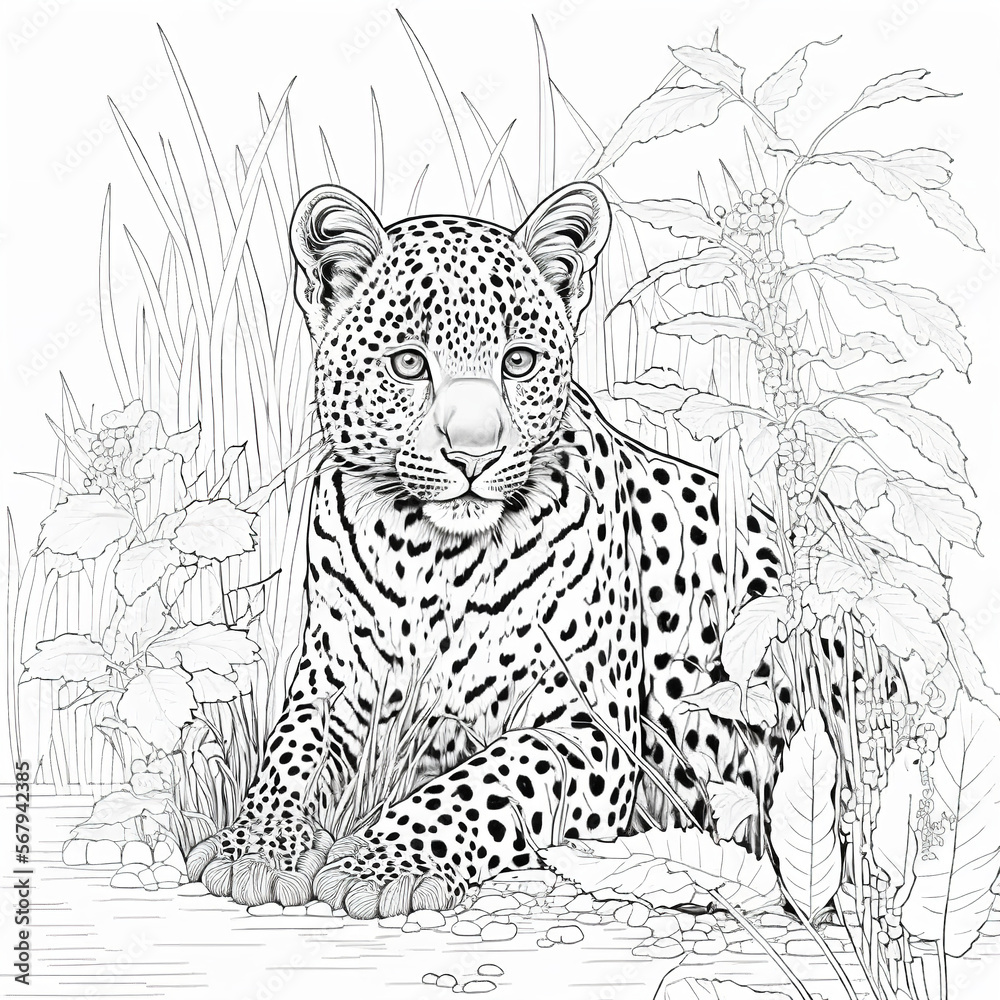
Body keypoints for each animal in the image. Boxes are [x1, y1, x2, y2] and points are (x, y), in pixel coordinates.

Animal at [186, 179, 796, 919]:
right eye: (409, 363)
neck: (429, 558)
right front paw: (254, 847)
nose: (474, 453)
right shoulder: (332, 681)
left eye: (518, 361)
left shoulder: (588, 731)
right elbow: (290, 754)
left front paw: (379, 863)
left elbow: (483, 783)